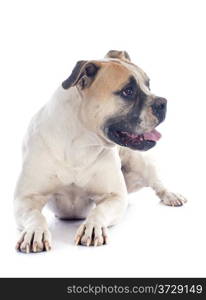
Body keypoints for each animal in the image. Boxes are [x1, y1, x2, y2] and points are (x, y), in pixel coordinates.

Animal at [14, 49, 187, 253]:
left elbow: (99, 210)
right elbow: (35, 216)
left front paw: (92, 227)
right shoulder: (26, 199)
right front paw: (35, 232)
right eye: (128, 91)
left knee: (157, 182)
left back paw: (171, 195)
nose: (163, 102)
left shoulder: (115, 196)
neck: (79, 144)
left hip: (141, 163)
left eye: (148, 85)